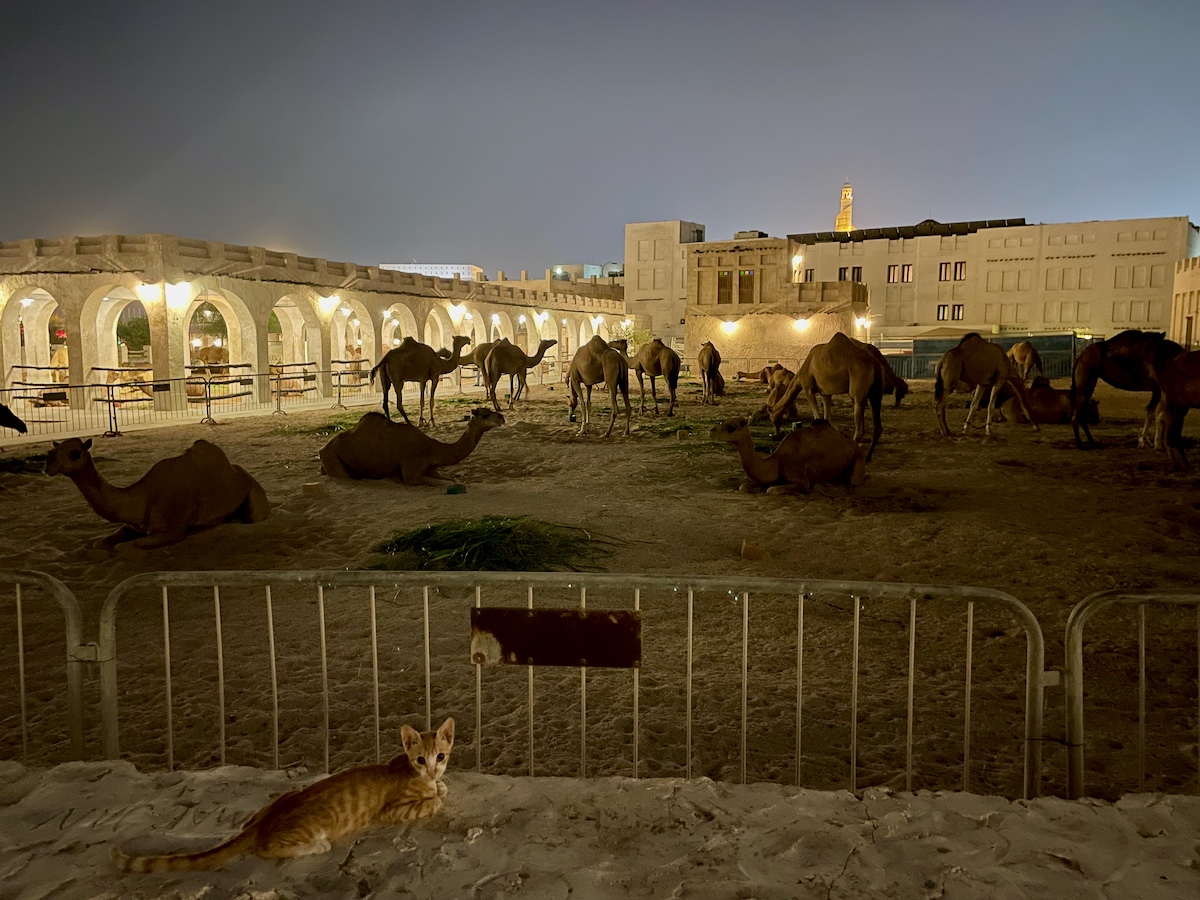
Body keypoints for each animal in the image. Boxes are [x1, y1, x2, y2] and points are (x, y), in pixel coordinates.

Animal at [43, 436, 268, 549]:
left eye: (74, 453)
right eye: (55, 449)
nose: (47, 461)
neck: (144, 497)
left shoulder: (173, 530)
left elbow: (128, 546)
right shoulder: (132, 525)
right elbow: (101, 543)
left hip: (255, 496)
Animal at [111, 720, 453, 873]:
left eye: (441, 756)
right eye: (420, 759)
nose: (433, 770)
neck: (407, 769)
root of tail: (261, 825)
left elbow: (442, 789)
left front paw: (440, 785)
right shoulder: (389, 810)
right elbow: (435, 799)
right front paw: (436, 792)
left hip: (285, 795)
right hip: (307, 828)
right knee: (266, 849)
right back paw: (316, 846)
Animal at [319, 408, 501, 487]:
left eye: (489, 409)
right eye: (485, 415)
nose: (502, 417)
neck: (431, 449)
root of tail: (323, 449)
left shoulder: (430, 468)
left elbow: (452, 479)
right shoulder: (410, 472)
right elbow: (446, 483)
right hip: (332, 458)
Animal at [705, 420, 868, 496]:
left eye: (731, 427)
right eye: (724, 422)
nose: (711, 431)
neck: (778, 460)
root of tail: (852, 443)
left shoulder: (800, 477)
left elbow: (771, 490)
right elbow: (744, 486)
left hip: (858, 456)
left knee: (853, 480)